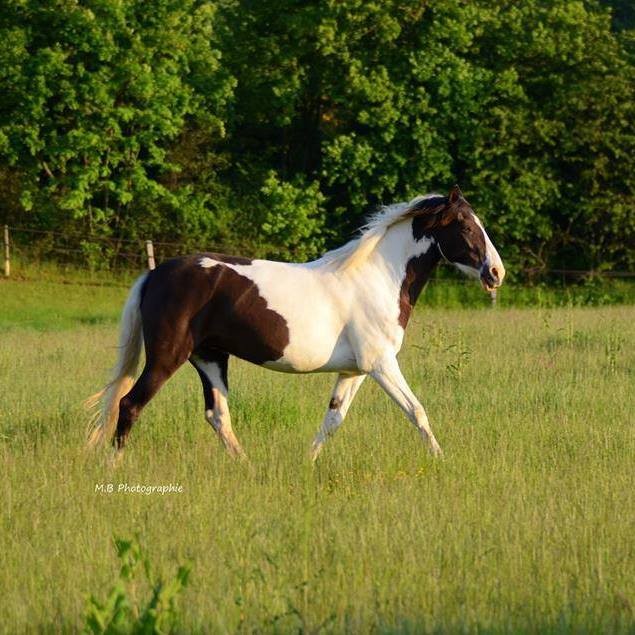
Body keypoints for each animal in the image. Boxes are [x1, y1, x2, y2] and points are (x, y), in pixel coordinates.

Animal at [86, 185, 505, 460]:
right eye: (465, 225)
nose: (496, 273)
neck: (377, 279)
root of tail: (154, 275)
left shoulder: (354, 371)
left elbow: (333, 419)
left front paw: (307, 464)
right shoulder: (381, 364)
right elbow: (416, 412)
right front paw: (441, 460)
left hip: (210, 358)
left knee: (217, 415)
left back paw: (247, 468)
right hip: (167, 356)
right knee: (129, 405)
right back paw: (114, 468)